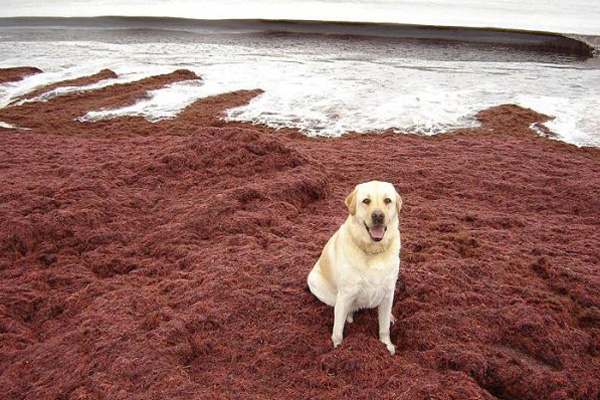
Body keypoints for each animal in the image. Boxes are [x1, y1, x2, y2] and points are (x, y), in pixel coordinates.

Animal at [308, 180, 400, 354]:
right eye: (366, 201)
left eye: (387, 201)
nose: (378, 216)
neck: (373, 252)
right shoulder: (345, 295)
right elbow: (337, 330)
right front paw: (338, 349)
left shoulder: (388, 292)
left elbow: (384, 327)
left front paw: (387, 346)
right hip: (315, 281)